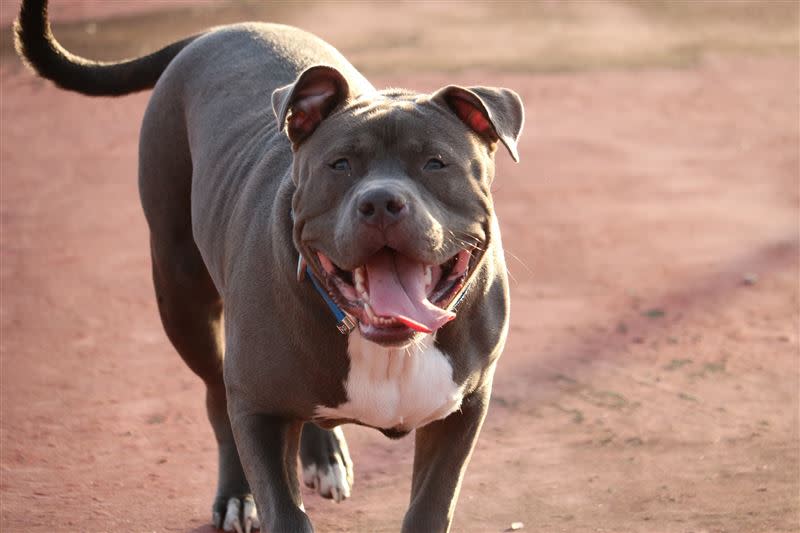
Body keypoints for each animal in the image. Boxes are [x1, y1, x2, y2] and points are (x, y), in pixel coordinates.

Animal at [15, 2, 524, 528]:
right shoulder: (258, 409)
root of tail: (216, 30)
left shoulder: (463, 409)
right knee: (217, 396)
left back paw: (323, 454)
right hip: (181, 297)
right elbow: (285, 510)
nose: (382, 202)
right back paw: (237, 494)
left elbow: (431, 506)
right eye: (339, 164)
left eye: (436, 163)